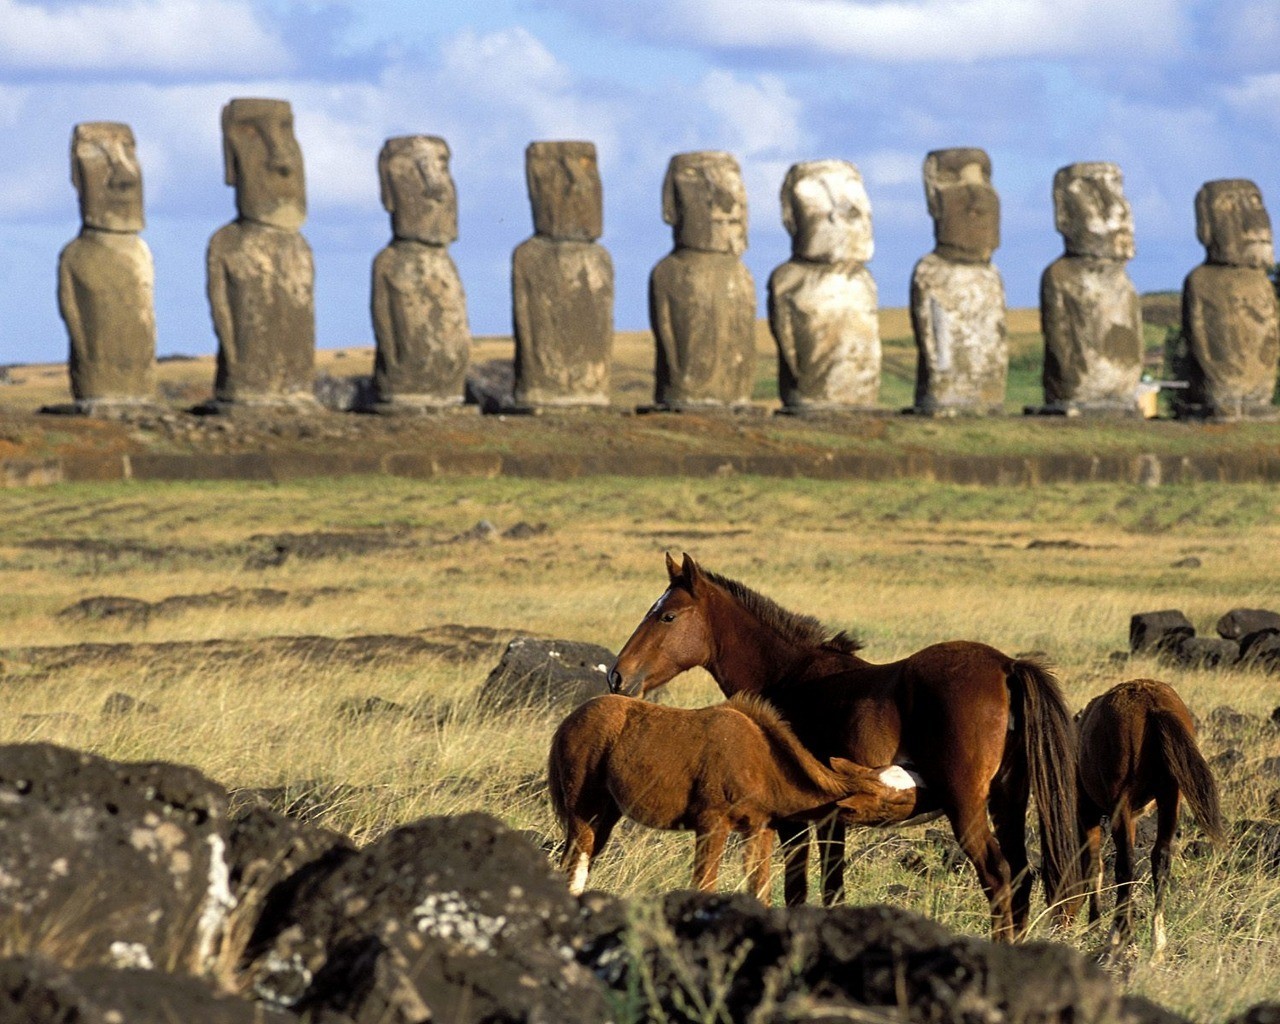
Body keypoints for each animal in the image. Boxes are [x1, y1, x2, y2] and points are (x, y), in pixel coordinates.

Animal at [547, 691, 921, 901]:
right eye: (897, 800)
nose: (930, 798)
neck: (762, 763)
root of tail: (566, 723)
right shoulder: (711, 823)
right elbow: (704, 884)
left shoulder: (760, 829)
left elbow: (760, 890)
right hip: (583, 808)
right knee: (576, 863)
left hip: (607, 813)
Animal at [609, 555, 1080, 942]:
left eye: (668, 616)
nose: (617, 676)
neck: (788, 677)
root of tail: (1007, 666)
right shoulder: (831, 819)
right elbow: (832, 889)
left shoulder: (794, 821)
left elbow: (798, 889)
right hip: (1008, 801)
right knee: (1020, 879)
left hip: (966, 808)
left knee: (998, 878)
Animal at [1070, 680, 1218, 962]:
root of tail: (1153, 705)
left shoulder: (1089, 814)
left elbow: (1095, 866)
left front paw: (1095, 924)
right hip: (1170, 796)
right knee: (1161, 858)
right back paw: (1157, 943)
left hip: (1122, 803)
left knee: (1125, 864)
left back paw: (1119, 936)